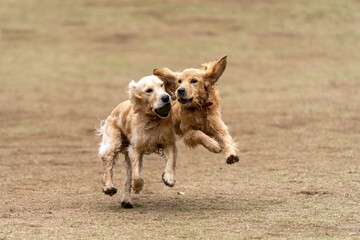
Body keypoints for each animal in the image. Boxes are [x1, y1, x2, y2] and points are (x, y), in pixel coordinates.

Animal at [97, 75, 176, 208]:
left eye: (161, 85)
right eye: (149, 90)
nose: (166, 97)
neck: (152, 119)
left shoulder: (167, 143)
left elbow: (170, 161)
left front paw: (169, 178)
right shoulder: (135, 149)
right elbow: (137, 176)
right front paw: (138, 187)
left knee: (127, 177)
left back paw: (126, 200)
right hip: (113, 144)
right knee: (109, 167)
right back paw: (109, 187)